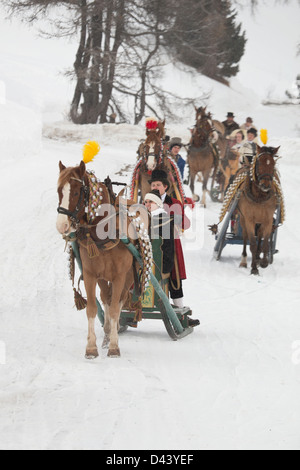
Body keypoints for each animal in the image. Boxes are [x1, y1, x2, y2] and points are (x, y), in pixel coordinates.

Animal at [55, 160, 152, 358]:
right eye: (59, 190)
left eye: (76, 192)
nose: (62, 225)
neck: (104, 233)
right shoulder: (91, 275)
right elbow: (92, 308)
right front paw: (91, 347)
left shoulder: (120, 276)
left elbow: (115, 308)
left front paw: (114, 346)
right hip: (102, 277)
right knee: (105, 297)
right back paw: (107, 334)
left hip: (129, 276)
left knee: (120, 299)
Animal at [237, 145, 284, 274]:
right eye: (258, 163)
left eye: (273, 163)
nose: (265, 185)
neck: (259, 196)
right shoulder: (249, 219)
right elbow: (252, 243)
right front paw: (253, 268)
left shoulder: (267, 220)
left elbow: (265, 242)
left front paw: (263, 262)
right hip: (242, 219)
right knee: (245, 237)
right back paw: (244, 260)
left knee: (260, 236)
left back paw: (258, 257)